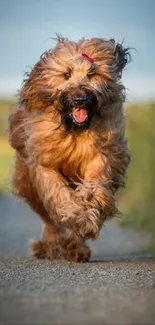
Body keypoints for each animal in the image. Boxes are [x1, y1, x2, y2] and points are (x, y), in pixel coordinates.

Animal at [8, 36, 131, 262]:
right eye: (66, 74)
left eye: (91, 74)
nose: (80, 99)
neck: (73, 130)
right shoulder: (43, 162)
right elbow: (57, 193)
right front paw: (75, 215)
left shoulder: (100, 155)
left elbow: (93, 188)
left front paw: (86, 221)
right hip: (28, 184)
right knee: (49, 219)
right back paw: (50, 246)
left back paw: (76, 247)